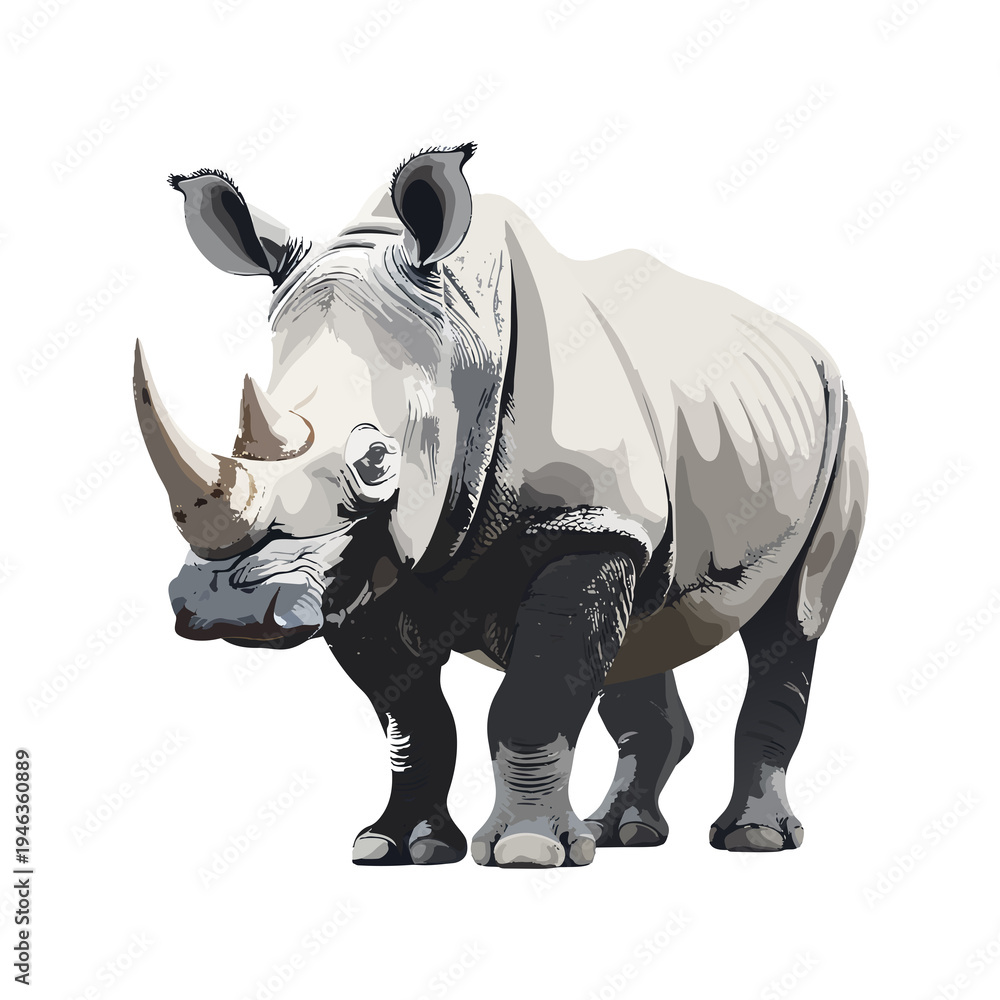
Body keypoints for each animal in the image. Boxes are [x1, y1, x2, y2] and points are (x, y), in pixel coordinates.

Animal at [134, 142, 868, 867]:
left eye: (375, 462)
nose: (227, 606)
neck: (462, 340)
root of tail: (811, 347)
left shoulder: (584, 523)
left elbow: (534, 698)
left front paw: (526, 851)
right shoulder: (367, 567)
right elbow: (412, 720)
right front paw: (396, 847)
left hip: (841, 422)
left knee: (792, 620)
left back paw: (752, 839)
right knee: (644, 631)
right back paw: (621, 834)